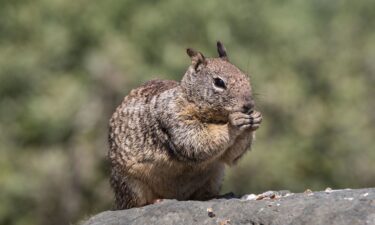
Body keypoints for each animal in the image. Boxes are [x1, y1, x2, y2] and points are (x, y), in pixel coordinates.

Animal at [107, 41, 262, 209]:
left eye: (247, 77)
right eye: (219, 82)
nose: (249, 105)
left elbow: (230, 156)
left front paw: (255, 118)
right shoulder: (175, 117)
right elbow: (196, 140)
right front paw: (234, 123)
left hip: (216, 176)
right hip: (130, 183)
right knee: (136, 203)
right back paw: (156, 200)